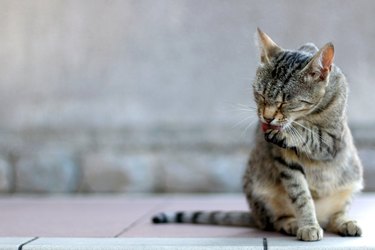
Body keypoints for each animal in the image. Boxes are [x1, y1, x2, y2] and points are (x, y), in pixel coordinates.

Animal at [153, 28, 364, 241]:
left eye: (285, 102)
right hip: (259, 190)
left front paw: (289, 132)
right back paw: (293, 223)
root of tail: (254, 216)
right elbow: (301, 196)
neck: (305, 117)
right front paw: (307, 225)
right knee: (274, 221)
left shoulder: (333, 141)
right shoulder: (284, 159)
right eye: (260, 95)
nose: (267, 117)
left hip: (351, 182)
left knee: (335, 215)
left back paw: (344, 222)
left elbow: (312, 135)